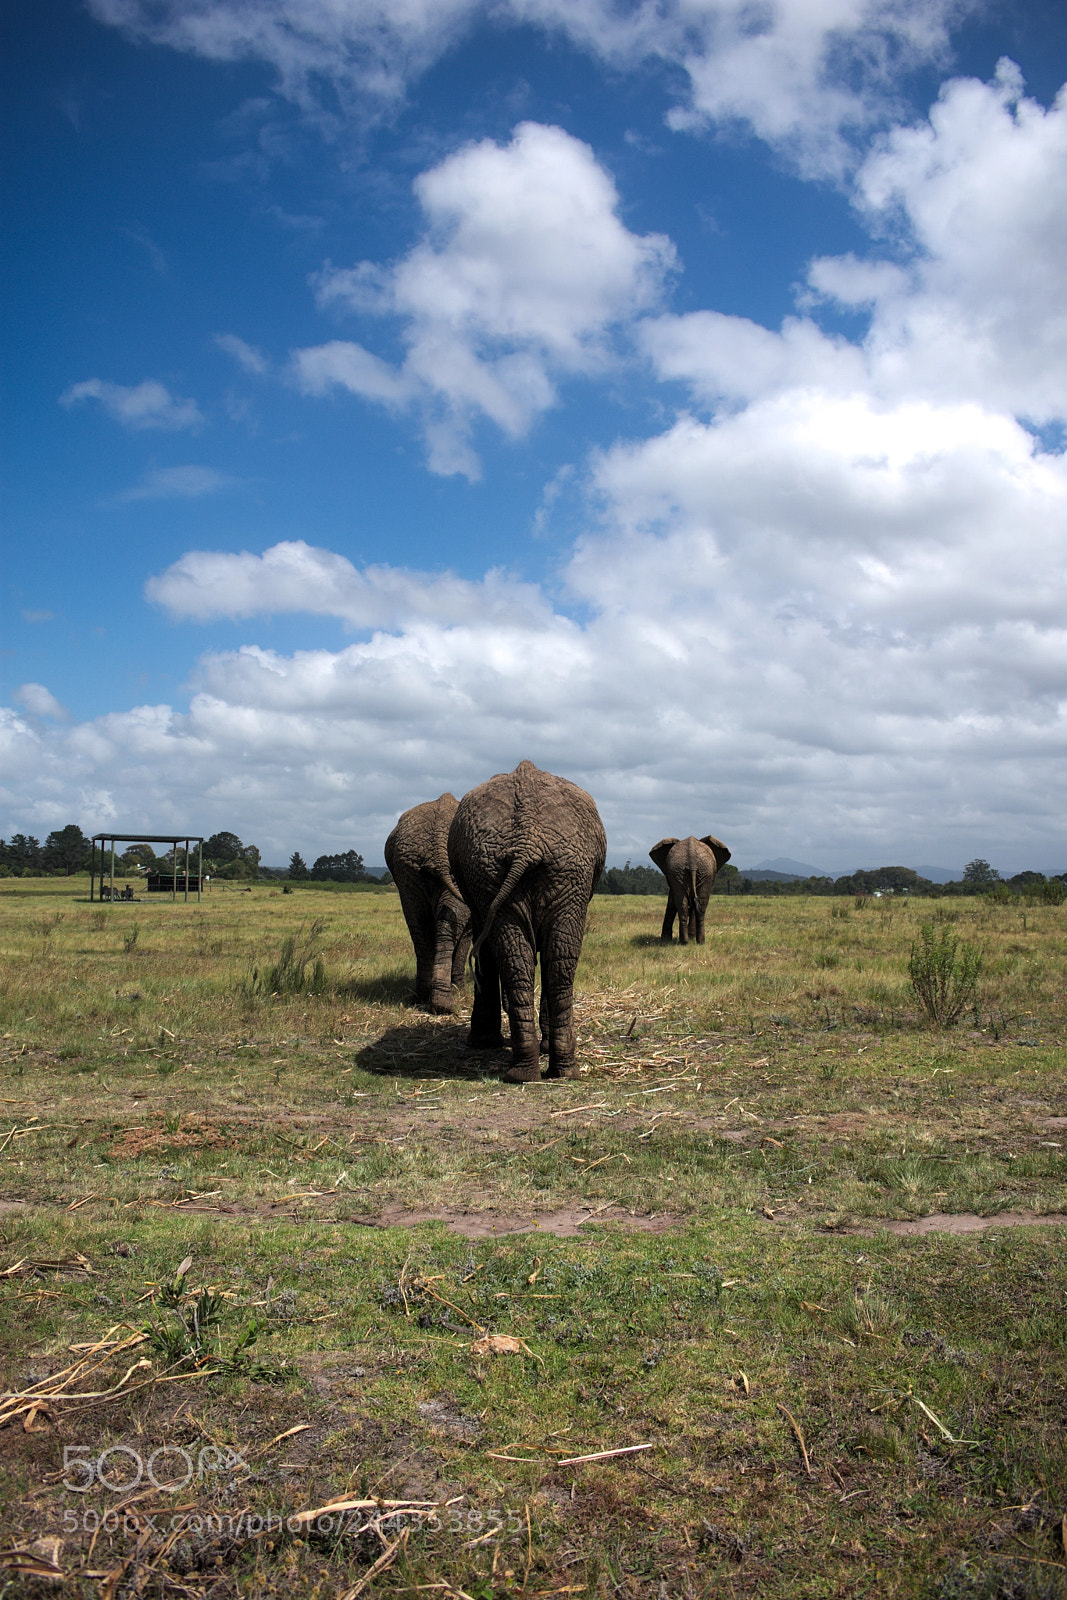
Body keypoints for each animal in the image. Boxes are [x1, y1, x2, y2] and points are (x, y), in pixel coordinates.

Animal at [447, 760, 606, 1083]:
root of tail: (526, 840)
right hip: (537, 870)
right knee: (547, 958)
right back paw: (543, 1072)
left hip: (551, 871)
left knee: (547, 957)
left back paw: (542, 1071)